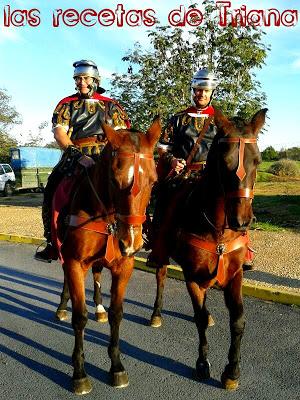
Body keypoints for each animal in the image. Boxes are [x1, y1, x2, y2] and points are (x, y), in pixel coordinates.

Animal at [55, 119, 161, 394]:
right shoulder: (74, 262)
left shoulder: (123, 266)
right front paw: (79, 373)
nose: (131, 242)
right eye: (114, 179)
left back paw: (99, 307)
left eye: (154, 181)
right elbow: (80, 317)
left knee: (97, 273)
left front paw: (116, 366)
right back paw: (62, 306)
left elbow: (117, 313)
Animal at [148, 108, 268, 390]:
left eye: (257, 161)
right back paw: (156, 314)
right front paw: (202, 364)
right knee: (160, 277)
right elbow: (199, 317)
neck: (218, 229)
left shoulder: (235, 275)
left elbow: (238, 320)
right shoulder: (192, 276)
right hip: (162, 254)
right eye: (224, 162)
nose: (242, 221)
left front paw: (232, 371)